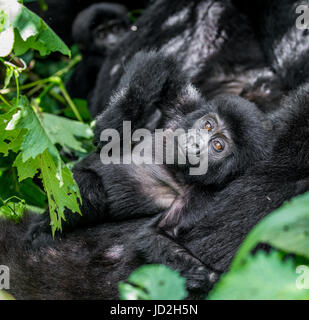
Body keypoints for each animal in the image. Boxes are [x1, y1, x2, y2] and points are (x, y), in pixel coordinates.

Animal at [27, 51, 270, 292]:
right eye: (208, 125)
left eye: (218, 146)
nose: (195, 143)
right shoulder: (187, 109)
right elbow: (161, 66)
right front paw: (114, 123)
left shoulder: (203, 196)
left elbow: (156, 234)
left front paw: (213, 278)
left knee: (89, 190)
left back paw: (44, 228)